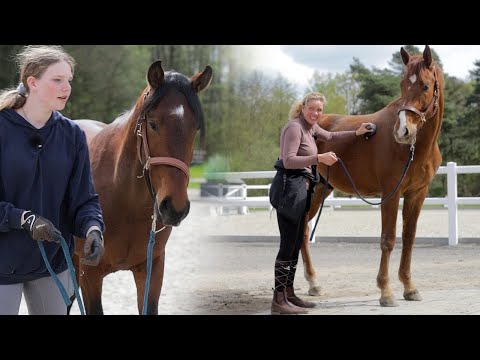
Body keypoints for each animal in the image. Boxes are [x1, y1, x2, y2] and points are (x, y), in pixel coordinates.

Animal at [302, 45, 444, 306]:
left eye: (426, 86)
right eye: (402, 84)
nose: (403, 131)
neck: (416, 148)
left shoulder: (417, 193)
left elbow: (408, 237)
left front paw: (409, 288)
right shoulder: (391, 192)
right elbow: (388, 239)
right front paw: (386, 292)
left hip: (320, 190)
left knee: (304, 229)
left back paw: (313, 284)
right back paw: (311, 282)